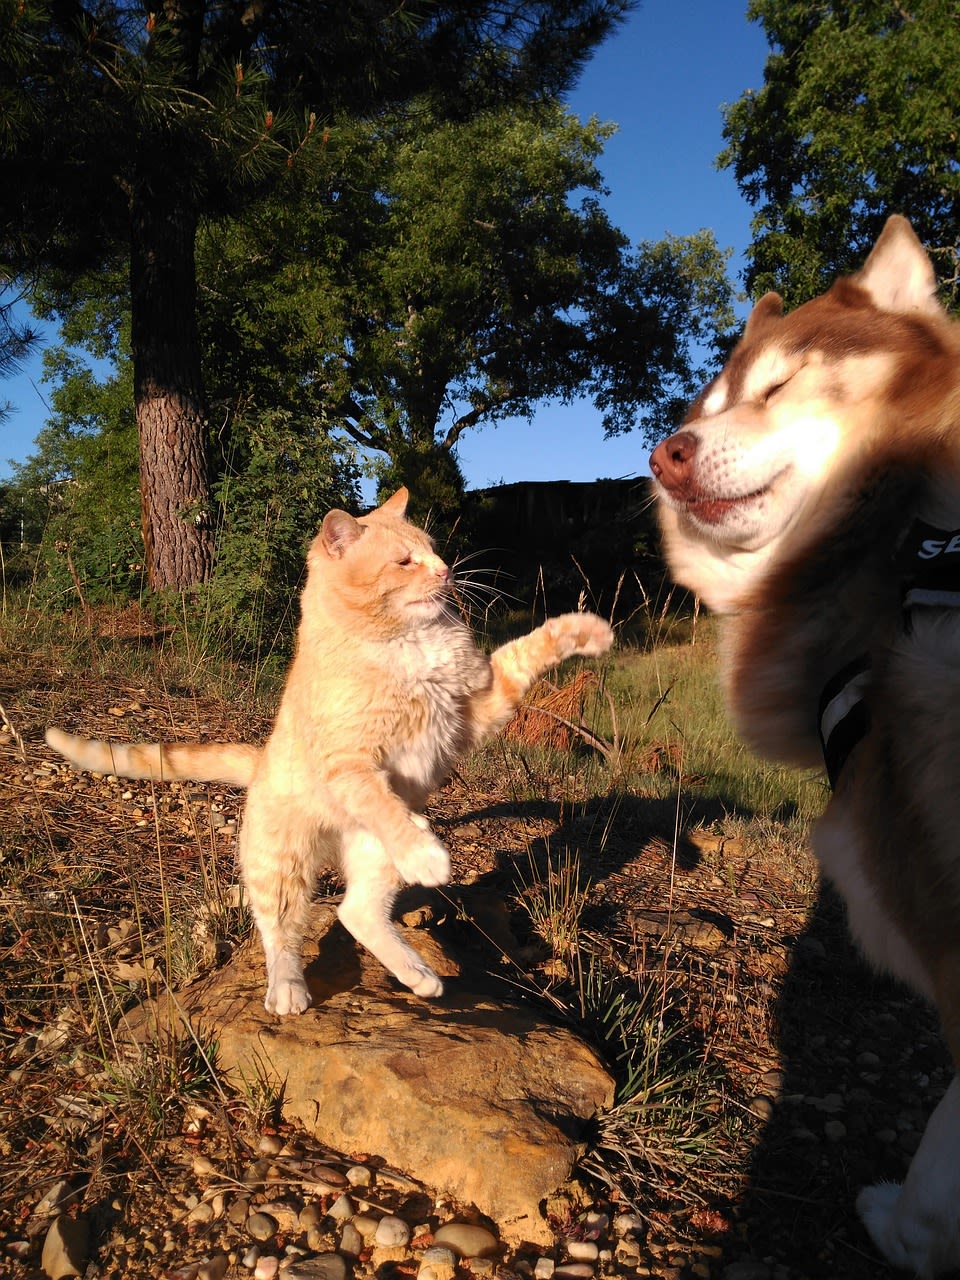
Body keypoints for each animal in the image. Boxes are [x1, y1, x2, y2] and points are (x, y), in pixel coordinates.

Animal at [47, 491, 616, 1018]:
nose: (447, 571)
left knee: (354, 912)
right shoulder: (352, 764)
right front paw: (427, 856)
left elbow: (525, 651)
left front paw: (585, 631)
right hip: (284, 865)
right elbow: (380, 800)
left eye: (433, 550)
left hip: (373, 857)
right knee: (282, 932)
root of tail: (259, 763)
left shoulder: (478, 708)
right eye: (404, 561)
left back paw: (419, 974)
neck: (403, 643)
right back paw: (290, 989)